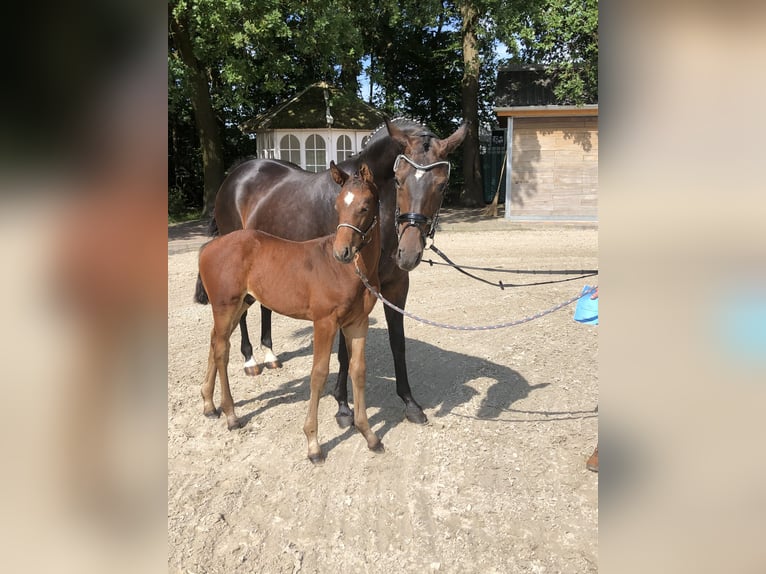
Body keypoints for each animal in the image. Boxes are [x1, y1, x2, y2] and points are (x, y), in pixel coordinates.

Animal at [195, 162, 380, 464]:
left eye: (365, 206)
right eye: (338, 205)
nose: (342, 252)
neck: (350, 271)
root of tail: (208, 247)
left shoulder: (357, 323)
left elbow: (358, 370)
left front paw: (369, 435)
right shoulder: (324, 323)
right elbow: (319, 374)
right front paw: (313, 445)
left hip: (239, 304)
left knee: (214, 341)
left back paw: (209, 404)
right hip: (225, 306)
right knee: (222, 350)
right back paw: (231, 415)